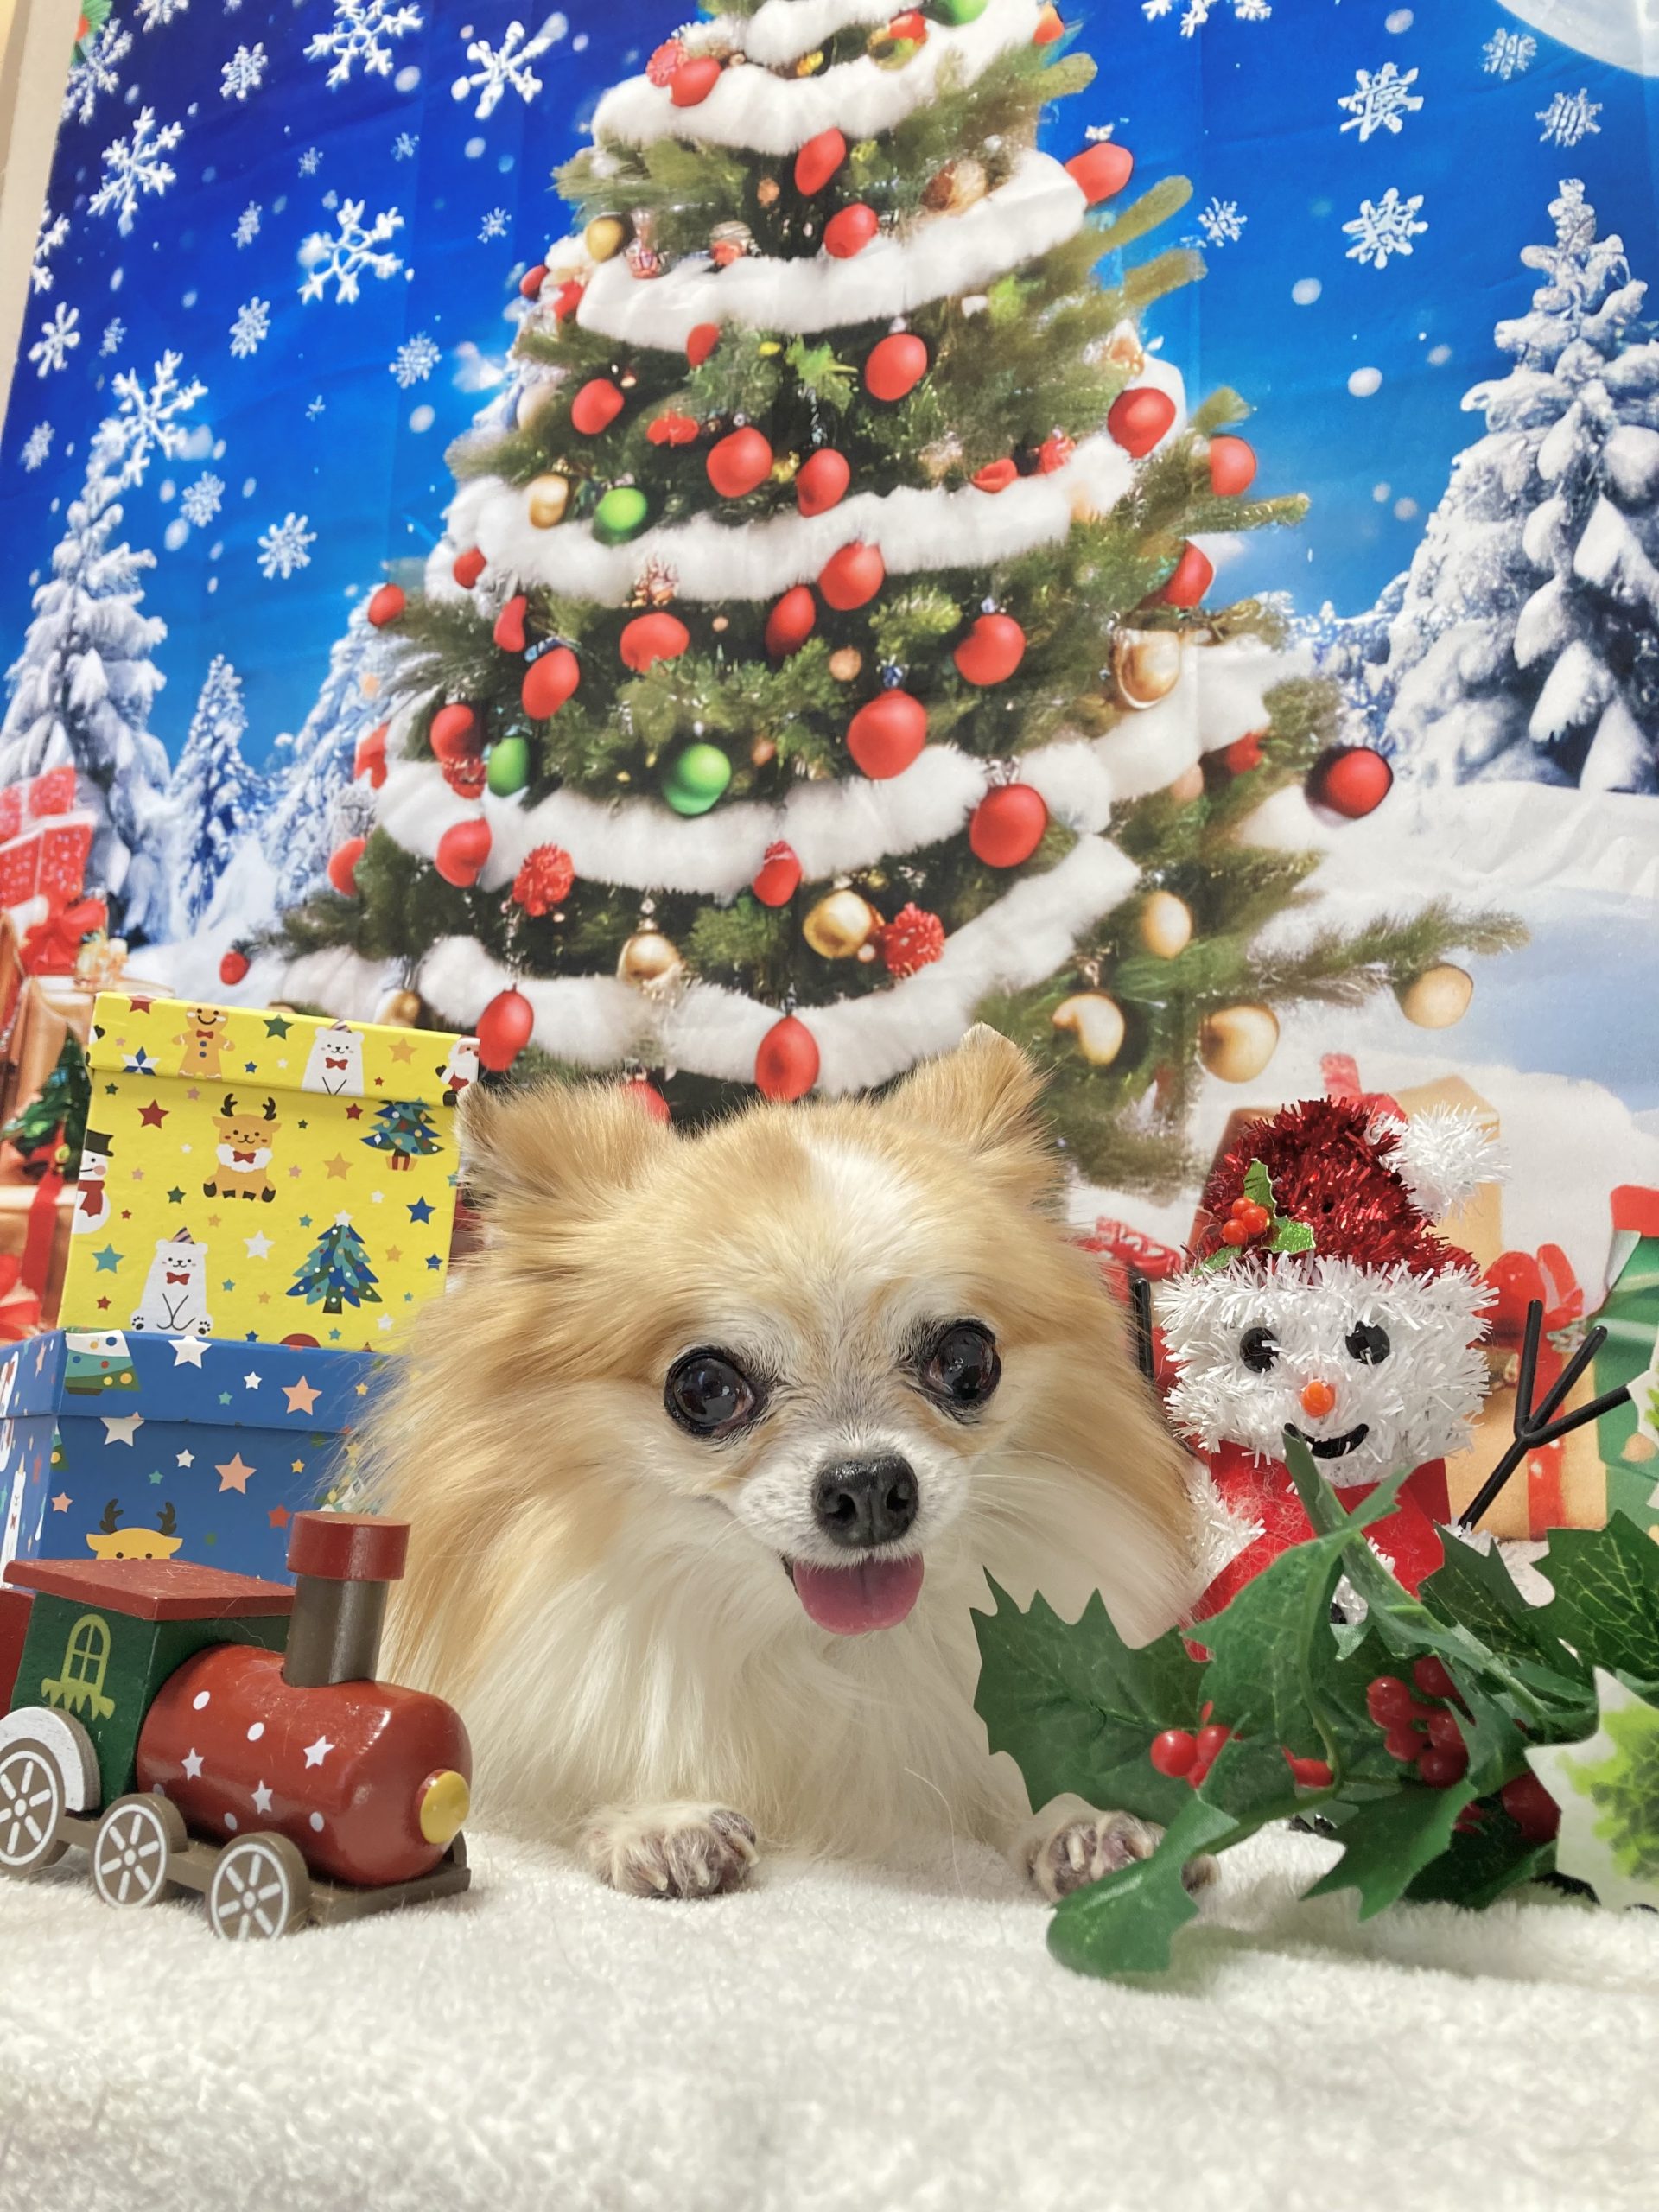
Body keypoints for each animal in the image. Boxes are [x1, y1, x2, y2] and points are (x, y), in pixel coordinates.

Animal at [367, 1027, 1201, 1902]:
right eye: (705, 1388)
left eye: (967, 1362)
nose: (869, 1486)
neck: (820, 1648)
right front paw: (660, 1815)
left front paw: (1079, 1818)